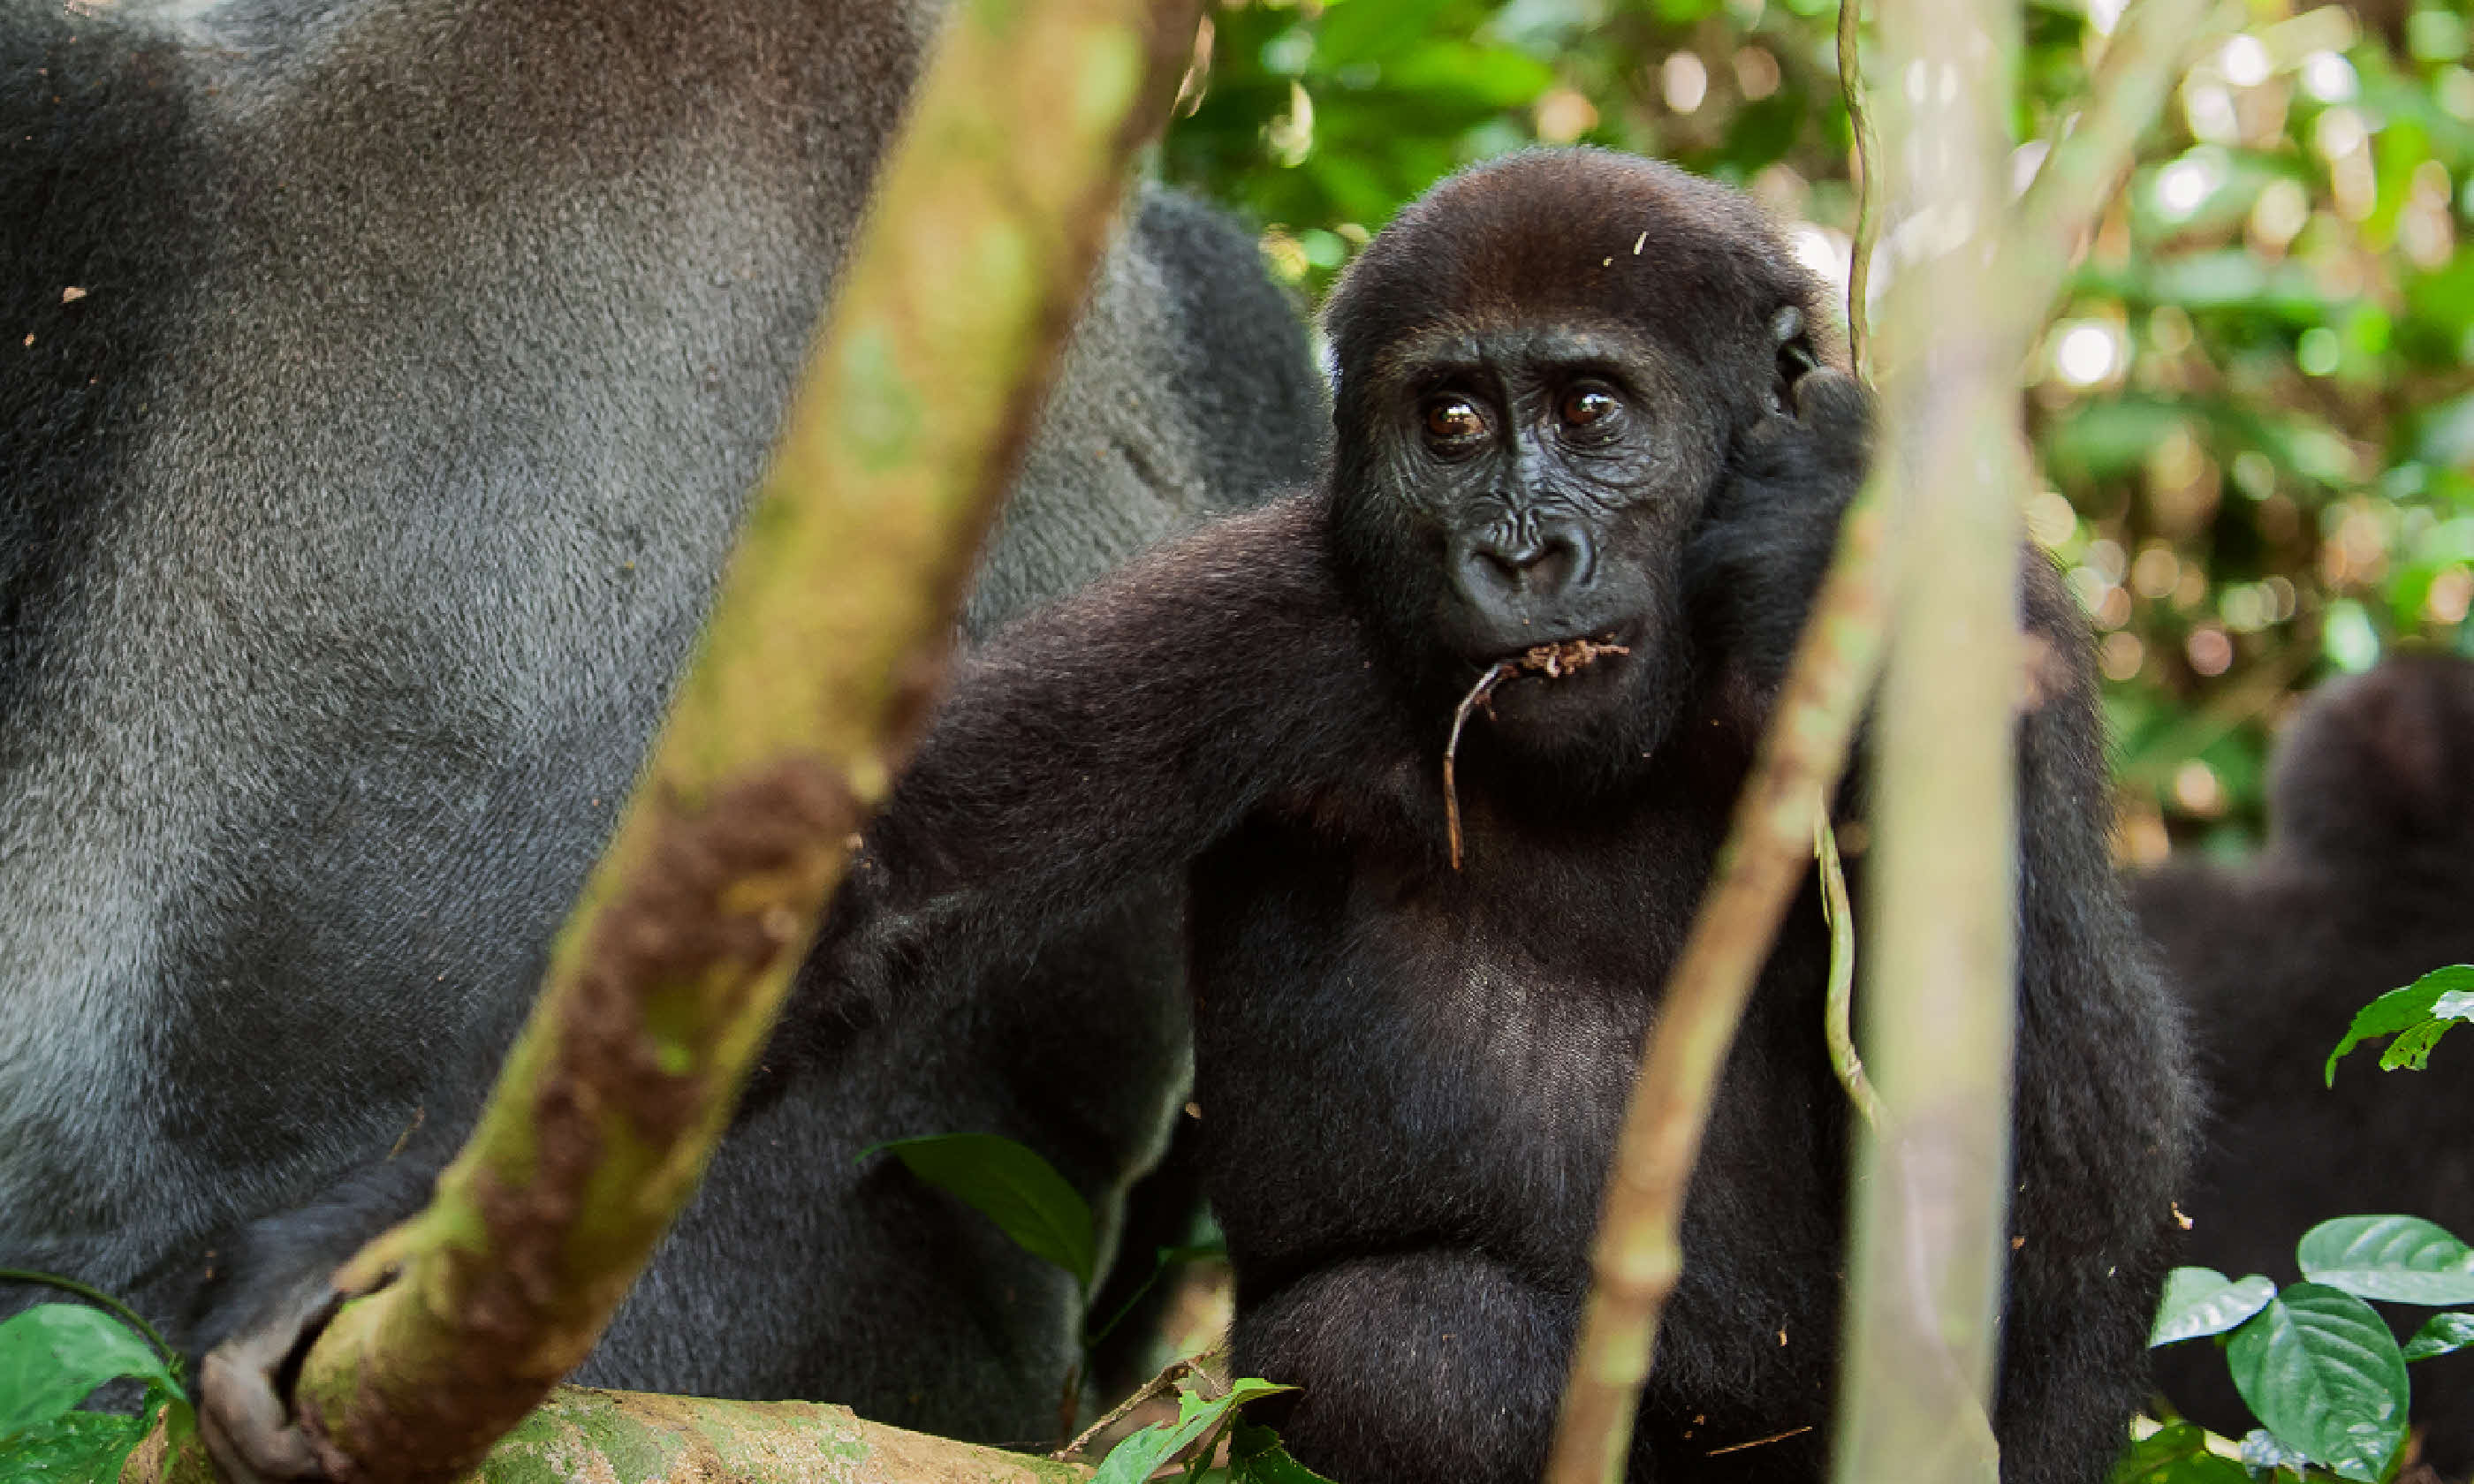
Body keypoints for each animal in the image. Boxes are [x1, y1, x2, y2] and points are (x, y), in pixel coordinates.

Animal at [806, 153, 2187, 1484]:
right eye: (1454, 424)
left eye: (1590, 411)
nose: (1521, 557)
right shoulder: (1257, 610)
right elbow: (889, 880)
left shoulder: (2004, 614)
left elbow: (2053, 1242)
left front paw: (1816, 522)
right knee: (1411, 1352)